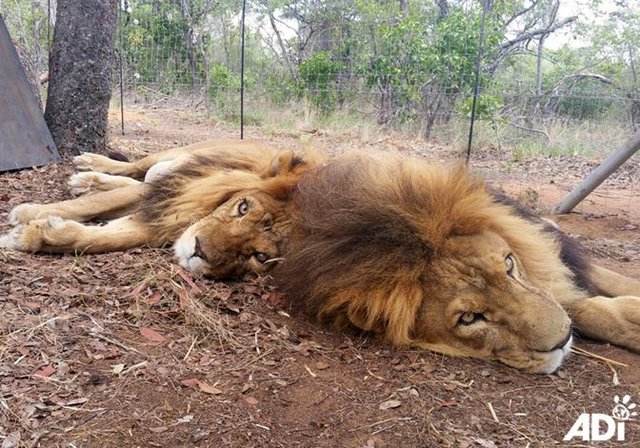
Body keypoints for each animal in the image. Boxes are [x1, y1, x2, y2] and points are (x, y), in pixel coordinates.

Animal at [0, 139, 319, 278]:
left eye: (260, 256)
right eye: (243, 207)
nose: (198, 250)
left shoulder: (162, 220)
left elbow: (106, 237)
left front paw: (32, 236)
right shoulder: (171, 191)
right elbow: (92, 204)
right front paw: (27, 214)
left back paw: (88, 180)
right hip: (179, 156)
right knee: (138, 168)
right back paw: (89, 166)